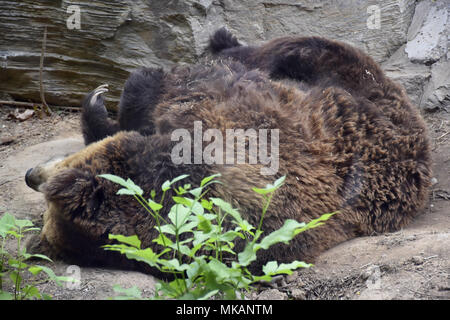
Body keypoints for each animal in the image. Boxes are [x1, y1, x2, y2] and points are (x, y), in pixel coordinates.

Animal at [25, 29, 432, 276]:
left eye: (46, 202)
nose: (31, 175)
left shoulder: (228, 118)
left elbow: (163, 86)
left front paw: (105, 104)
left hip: (362, 91)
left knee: (295, 48)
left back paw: (225, 40)